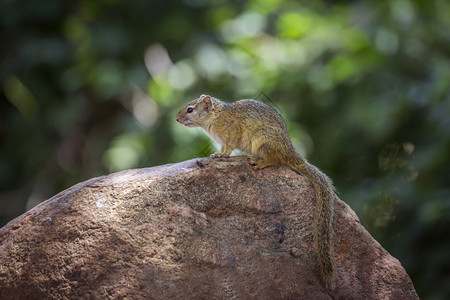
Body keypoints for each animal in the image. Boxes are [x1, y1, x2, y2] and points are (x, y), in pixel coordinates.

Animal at [176, 94, 338, 290]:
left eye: (190, 109)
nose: (176, 119)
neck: (215, 117)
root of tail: (288, 150)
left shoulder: (232, 129)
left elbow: (229, 146)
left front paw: (222, 156)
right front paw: (216, 155)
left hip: (262, 141)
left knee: (274, 160)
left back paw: (260, 162)